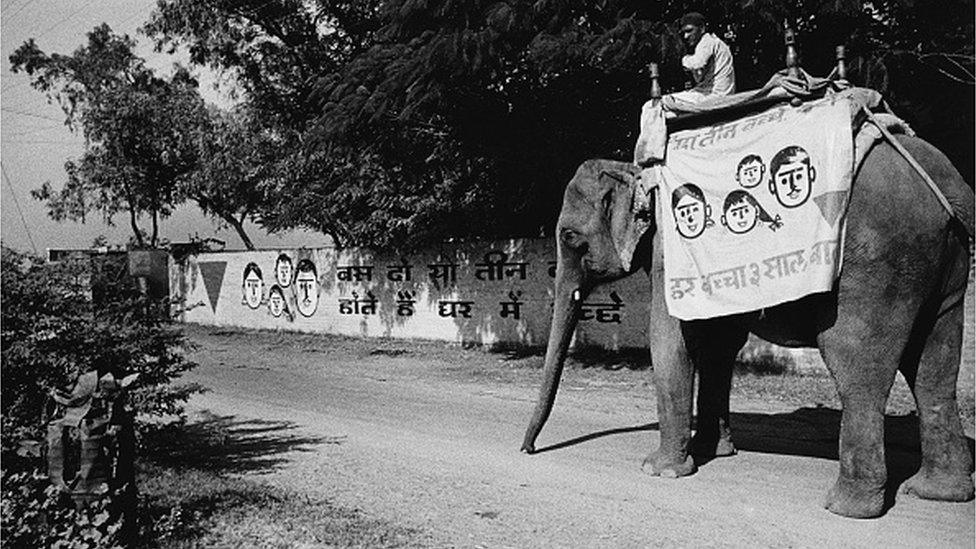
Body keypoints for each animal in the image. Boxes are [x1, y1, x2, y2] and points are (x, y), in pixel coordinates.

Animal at [528, 136, 976, 520]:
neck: (639, 172)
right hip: (945, 271)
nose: (528, 450)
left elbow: (670, 342)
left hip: (874, 272)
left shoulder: (670, 254)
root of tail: (946, 187)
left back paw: (845, 508)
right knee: (935, 370)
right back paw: (937, 492)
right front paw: (716, 450)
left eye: (570, 236)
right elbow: (718, 346)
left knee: (858, 371)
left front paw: (659, 470)